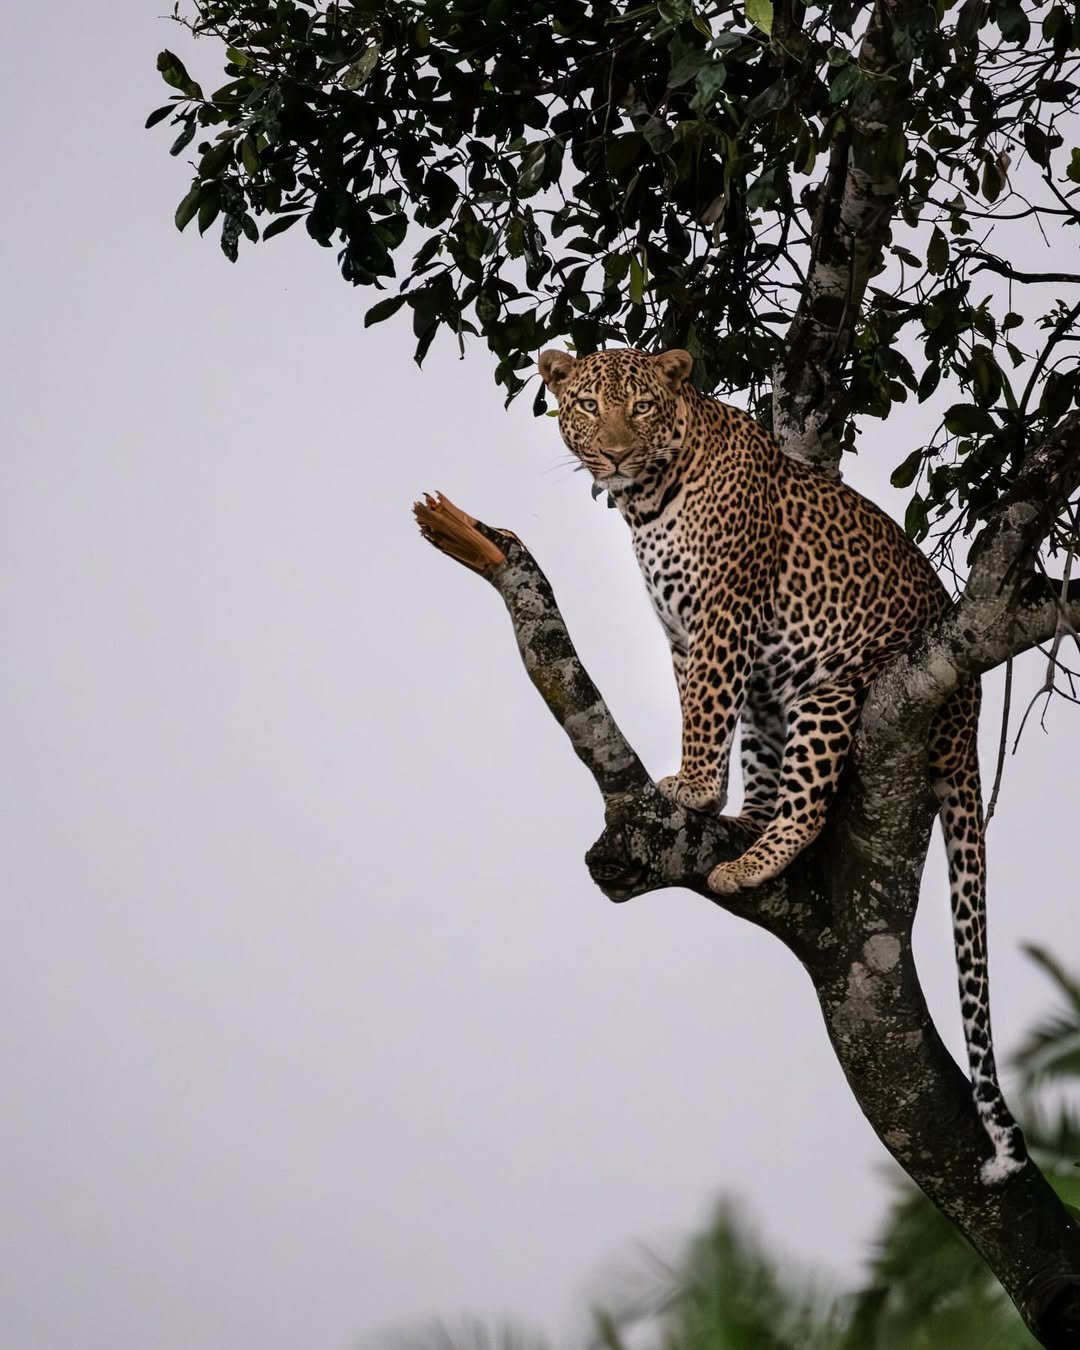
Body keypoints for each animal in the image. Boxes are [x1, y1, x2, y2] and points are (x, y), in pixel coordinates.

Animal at [538, 344, 1027, 1185]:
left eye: (641, 407)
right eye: (587, 406)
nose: (616, 453)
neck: (650, 498)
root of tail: (967, 708)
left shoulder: (723, 615)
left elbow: (706, 709)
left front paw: (693, 788)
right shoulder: (688, 635)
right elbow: (713, 713)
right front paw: (725, 801)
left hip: (833, 691)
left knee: (811, 802)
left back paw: (754, 859)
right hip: (787, 683)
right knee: (776, 764)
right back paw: (753, 826)